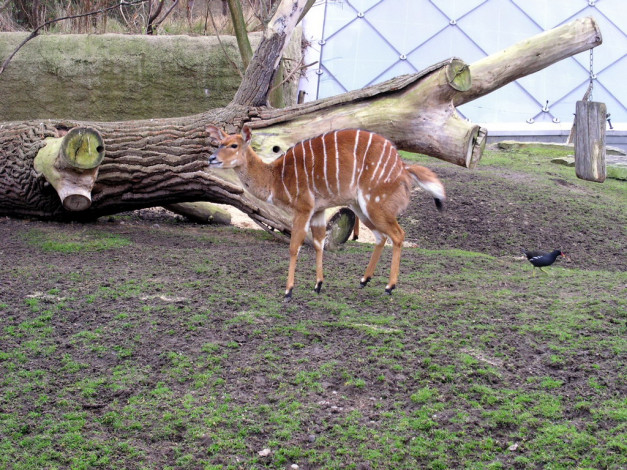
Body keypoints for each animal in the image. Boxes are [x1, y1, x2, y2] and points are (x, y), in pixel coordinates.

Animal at [209, 125, 444, 302]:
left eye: (234, 145)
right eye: (219, 143)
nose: (212, 158)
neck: (276, 177)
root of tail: (403, 167)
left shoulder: (303, 209)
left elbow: (294, 247)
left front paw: (288, 291)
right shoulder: (319, 210)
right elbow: (318, 243)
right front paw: (318, 285)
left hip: (375, 204)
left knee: (398, 234)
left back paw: (389, 286)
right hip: (361, 207)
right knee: (381, 236)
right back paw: (364, 280)